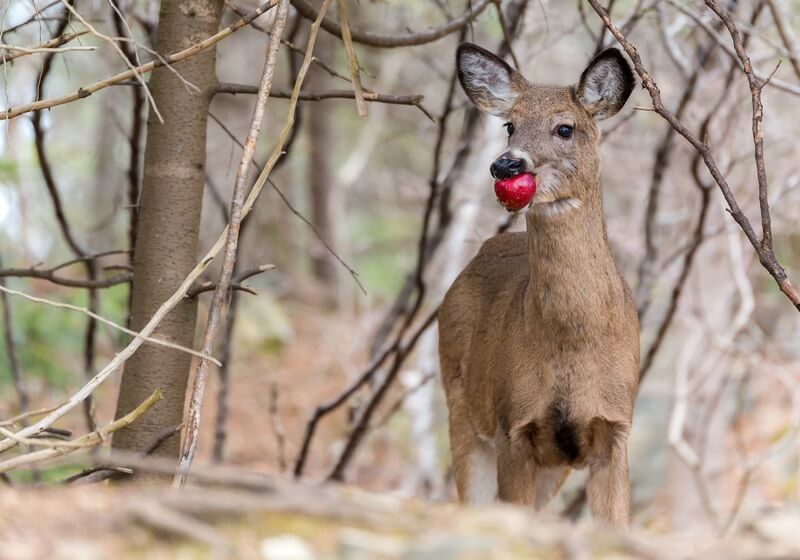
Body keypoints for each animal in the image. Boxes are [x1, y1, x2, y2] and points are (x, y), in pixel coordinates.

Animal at [438, 43, 640, 528]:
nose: (506, 163)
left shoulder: (615, 424)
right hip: (461, 406)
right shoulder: (513, 424)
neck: (572, 343)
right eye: (510, 124)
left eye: (565, 127)